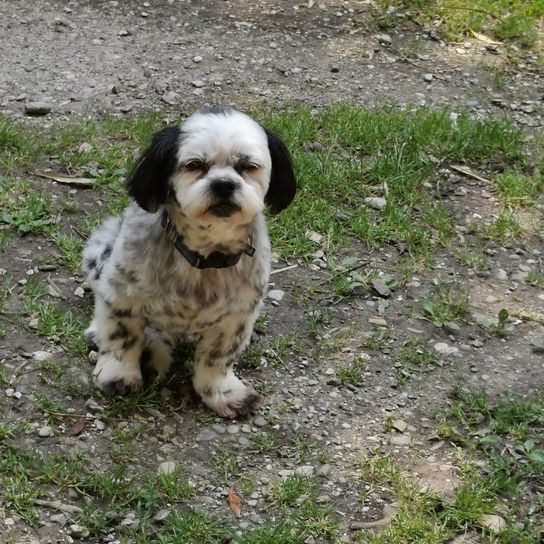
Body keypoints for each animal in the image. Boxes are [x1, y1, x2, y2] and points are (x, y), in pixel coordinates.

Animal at [81, 108, 296, 418]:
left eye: (248, 166)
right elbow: (123, 337)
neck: (204, 258)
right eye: (195, 165)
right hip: (98, 250)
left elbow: (217, 359)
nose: (223, 184)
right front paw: (118, 375)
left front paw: (222, 393)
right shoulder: (121, 297)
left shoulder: (236, 318)